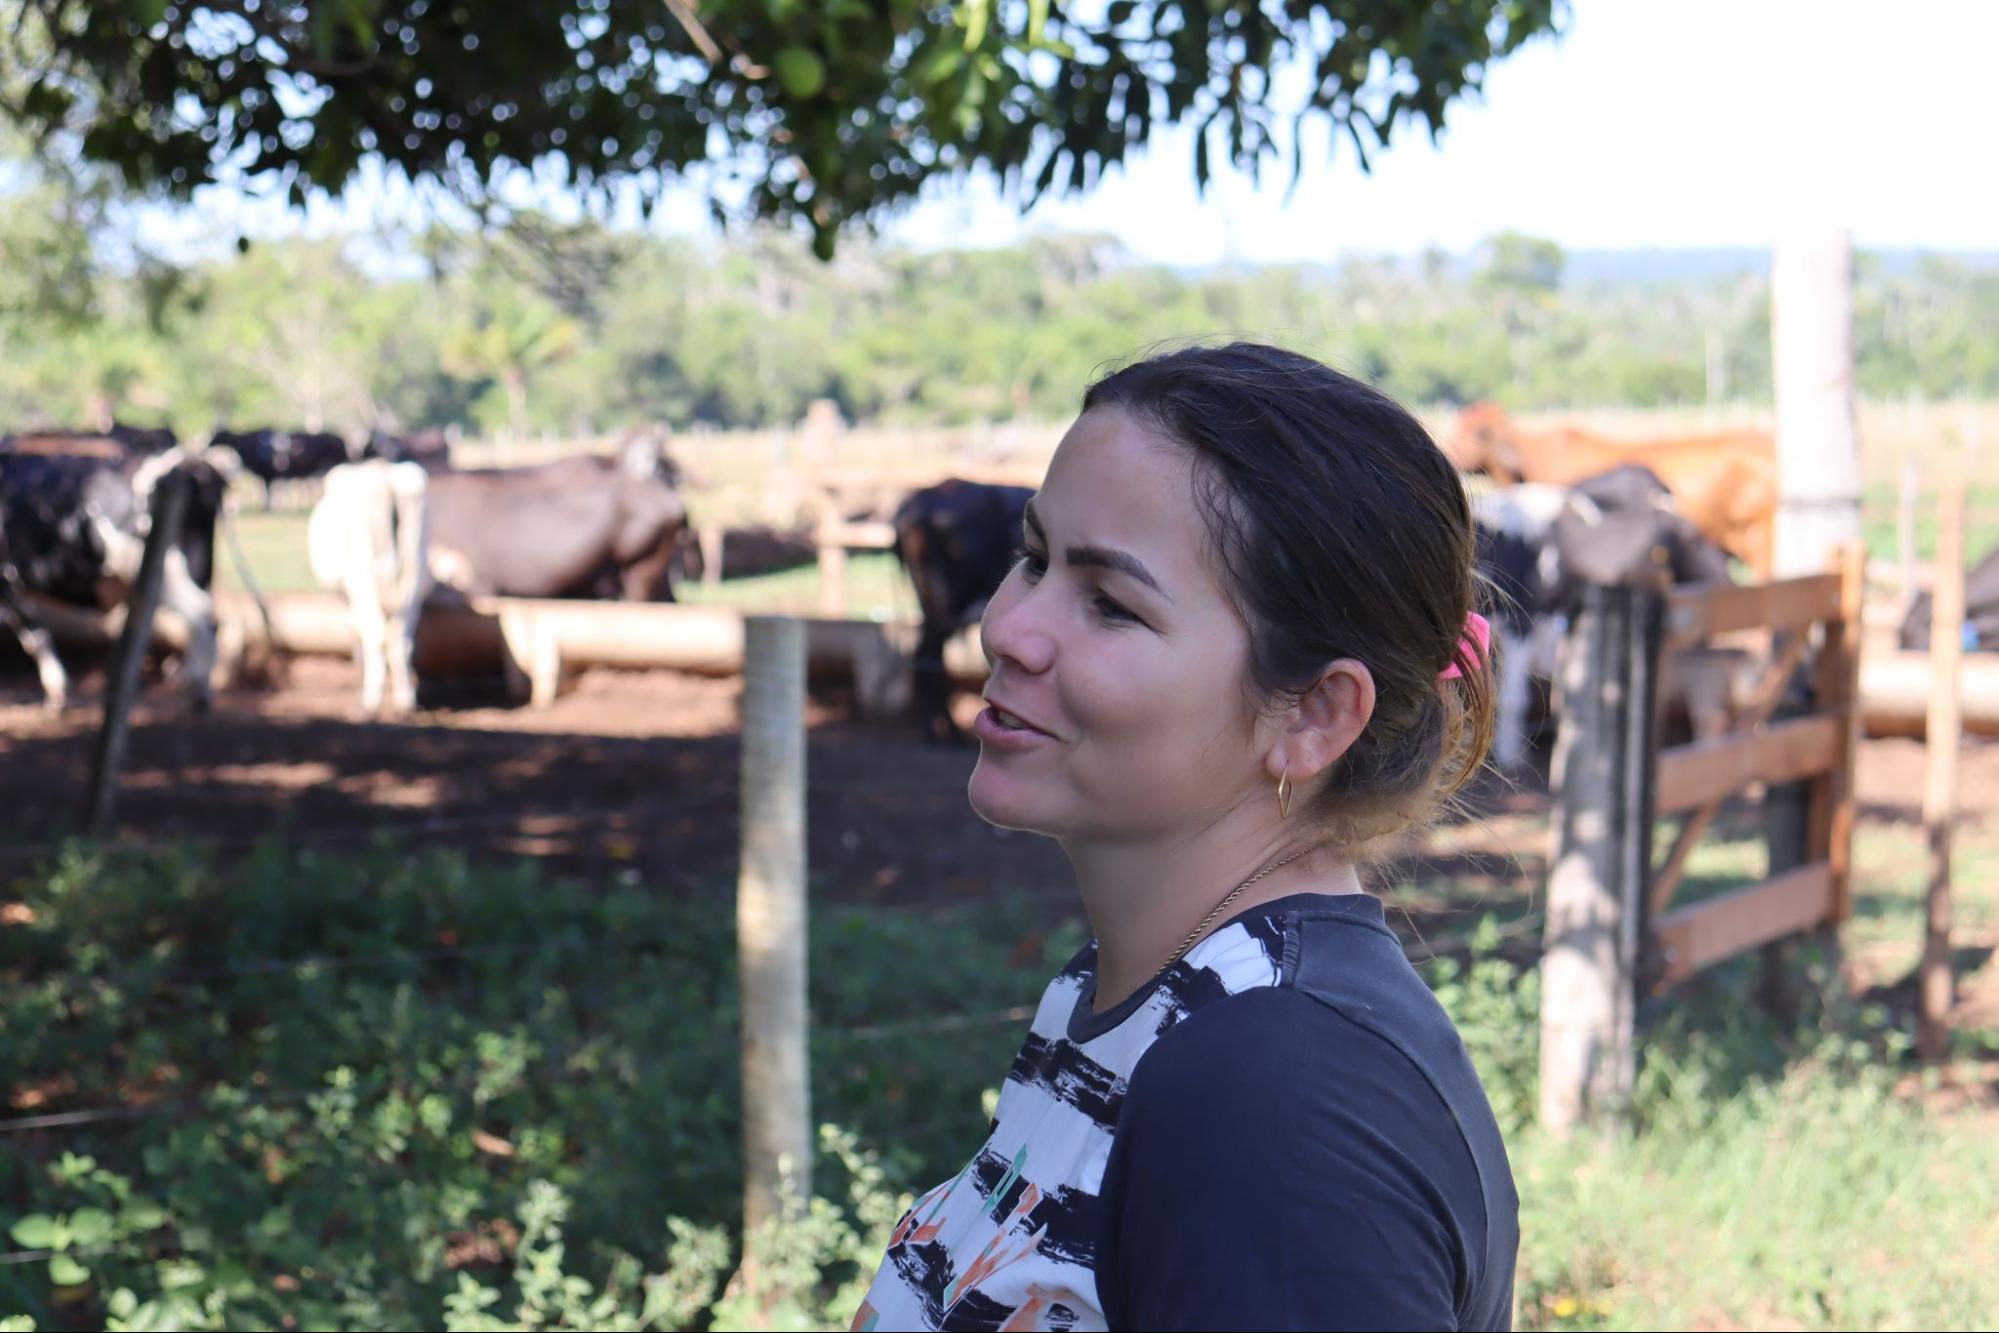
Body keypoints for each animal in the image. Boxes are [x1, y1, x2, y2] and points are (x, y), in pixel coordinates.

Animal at [0, 443, 233, 707]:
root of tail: (190, 463)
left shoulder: (9, 579)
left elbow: (34, 634)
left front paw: (57, 689)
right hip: (197, 564)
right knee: (207, 615)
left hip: (164, 571)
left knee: (201, 611)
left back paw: (195, 684)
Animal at [305, 459, 431, 715]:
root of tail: (385, 478)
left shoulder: (351, 591)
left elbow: (358, 627)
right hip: (414, 574)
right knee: (402, 639)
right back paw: (405, 699)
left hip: (365, 578)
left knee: (377, 634)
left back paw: (371, 699)